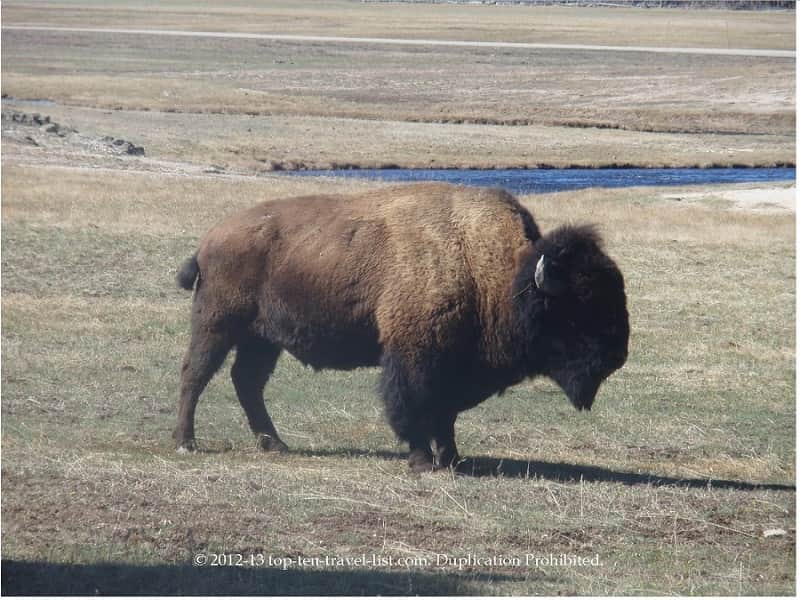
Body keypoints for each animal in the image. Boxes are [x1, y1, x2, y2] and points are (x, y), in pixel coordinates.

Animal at [174, 182, 629, 471]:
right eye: (578, 307)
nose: (618, 356)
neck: (493, 273)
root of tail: (209, 240)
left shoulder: (453, 368)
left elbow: (445, 415)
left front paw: (453, 459)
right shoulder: (413, 356)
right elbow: (413, 407)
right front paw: (423, 461)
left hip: (262, 338)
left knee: (246, 382)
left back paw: (275, 444)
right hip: (218, 324)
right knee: (196, 375)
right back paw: (186, 442)